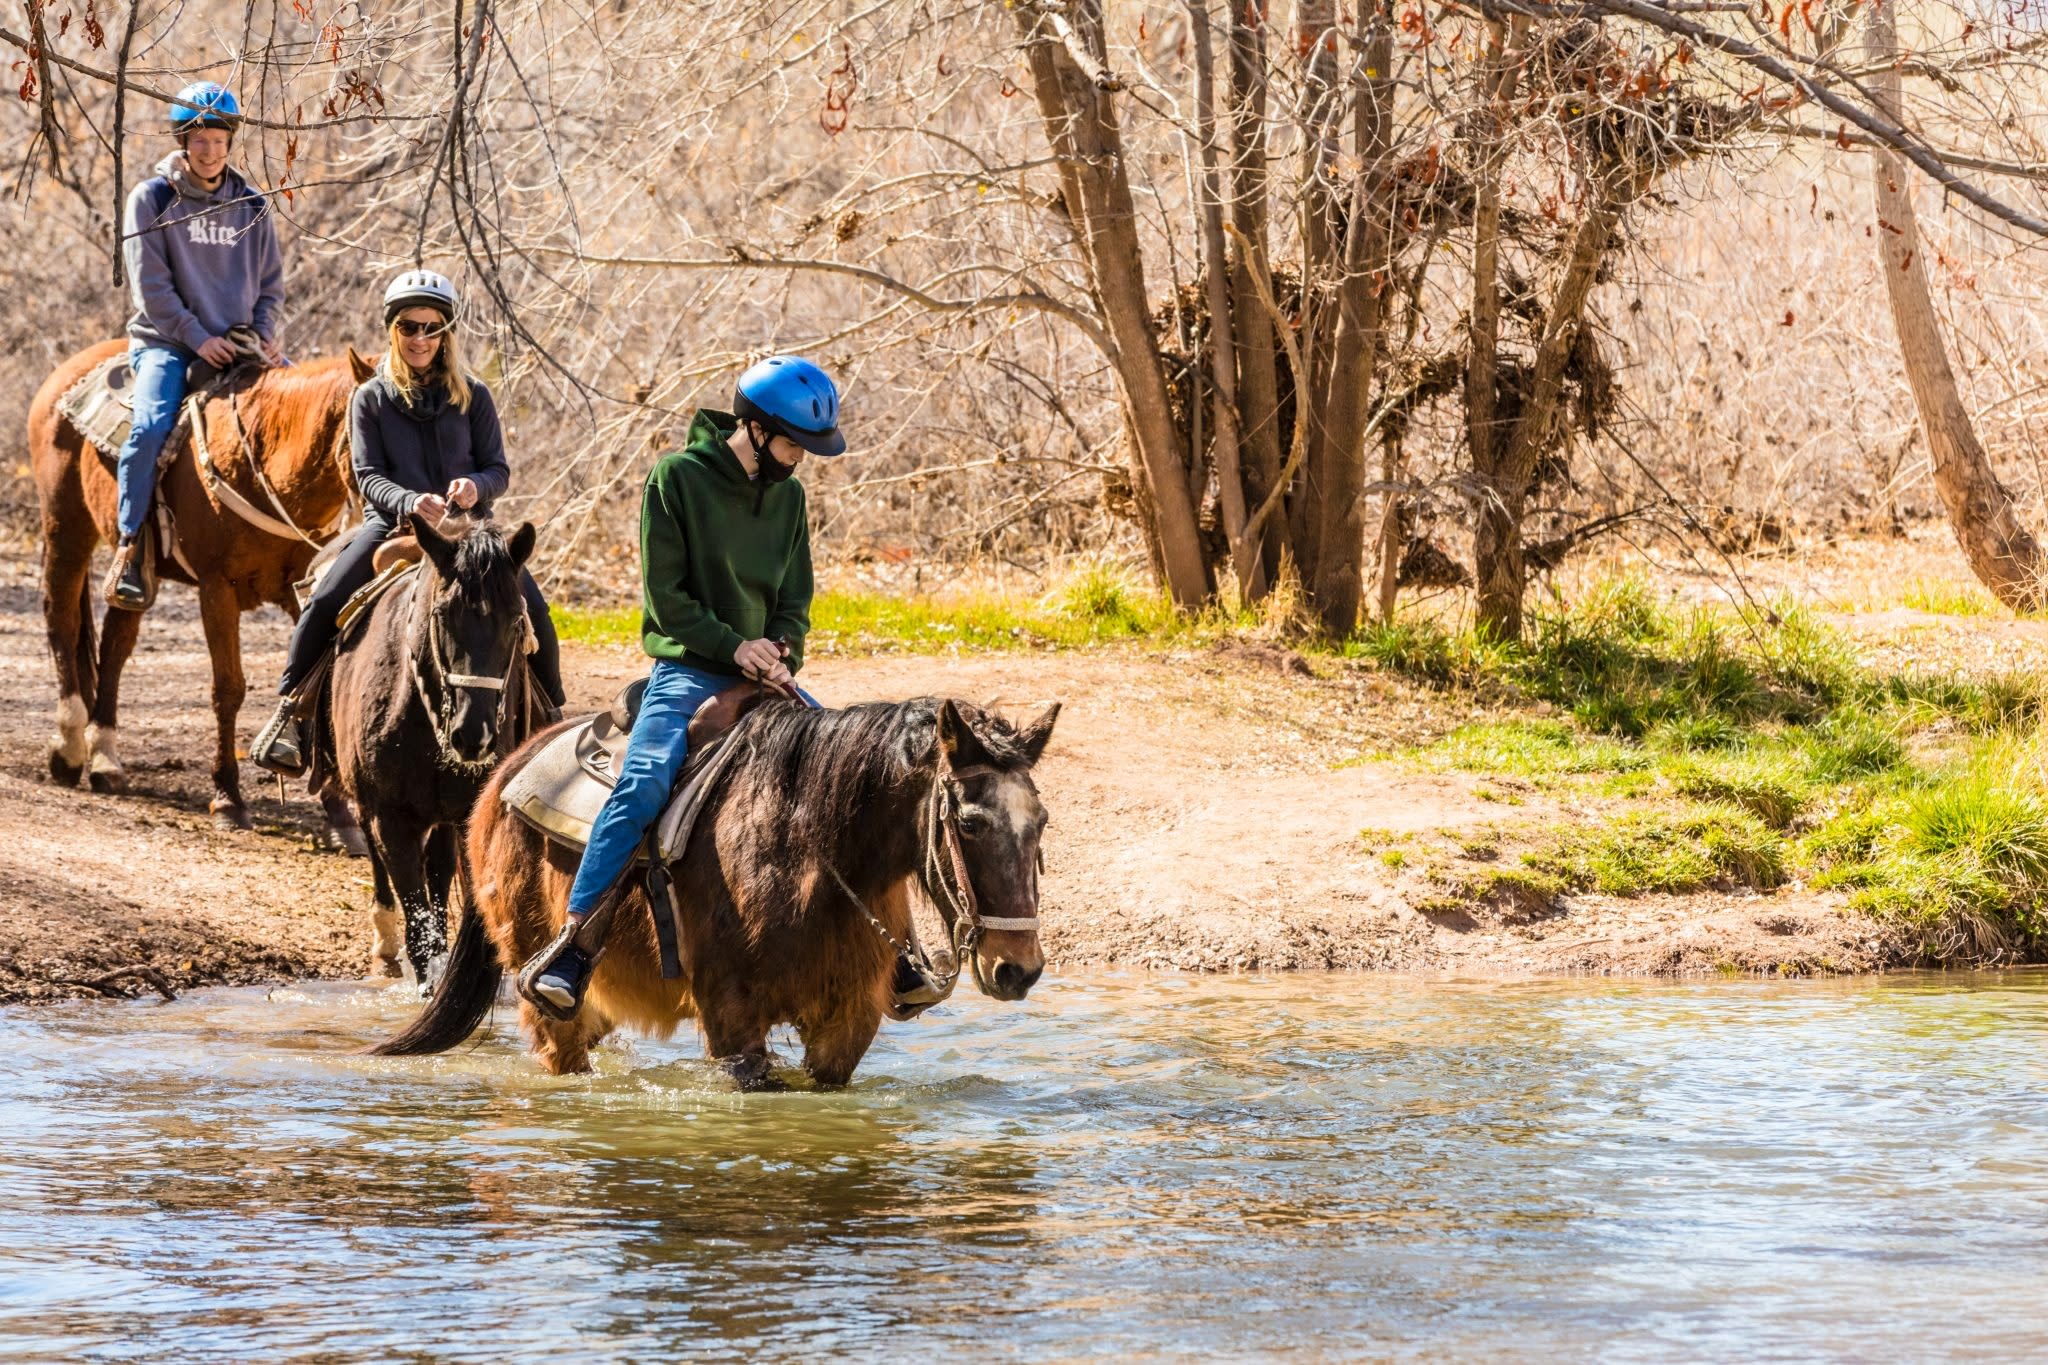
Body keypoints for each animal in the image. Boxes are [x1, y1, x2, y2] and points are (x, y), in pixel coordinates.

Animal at [29, 341, 374, 840]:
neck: (267, 464)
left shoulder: (305, 589)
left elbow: (314, 681)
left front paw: (340, 817)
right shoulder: (217, 589)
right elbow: (227, 689)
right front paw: (228, 798)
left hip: (138, 576)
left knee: (114, 646)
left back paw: (105, 759)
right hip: (66, 529)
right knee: (62, 620)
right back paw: (70, 749)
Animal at [320, 513, 545, 987]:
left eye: (517, 620)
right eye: (442, 615)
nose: (474, 735)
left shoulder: (465, 816)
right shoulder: (390, 819)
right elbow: (420, 932)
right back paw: (384, 945)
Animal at [373, 695, 1061, 1085]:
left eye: (1043, 821)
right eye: (969, 823)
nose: (1018, 970)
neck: (807, 854)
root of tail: (504, 775)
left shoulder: (847, 1025)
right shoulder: (733, 1028)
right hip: (545, 994)